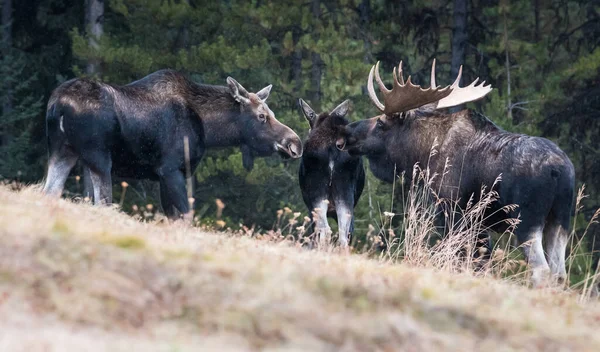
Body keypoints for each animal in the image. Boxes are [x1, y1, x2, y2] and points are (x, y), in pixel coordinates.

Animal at [42, 69, 302, 219]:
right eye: (262, 116)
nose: (294, 143)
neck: (209, 130)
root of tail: (58, 105)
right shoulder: (170, 170)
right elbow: (186, 217)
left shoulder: (163, 176)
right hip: (98, 157)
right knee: (102, 203)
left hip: (62, 151)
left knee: (49, 191)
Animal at [338, 60, 576, 286]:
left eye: (380, 123)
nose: (347, 132)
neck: (423, 154)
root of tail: (559, 171)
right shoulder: (477, 222)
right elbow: (480, 262)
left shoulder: (453, 210)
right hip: (560, 220)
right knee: (560, 273)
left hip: (526, 221)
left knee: (542, 270)